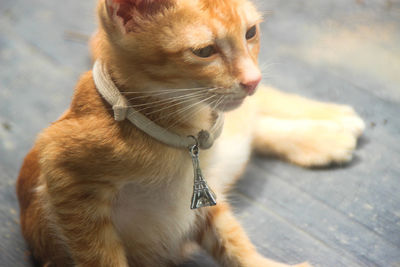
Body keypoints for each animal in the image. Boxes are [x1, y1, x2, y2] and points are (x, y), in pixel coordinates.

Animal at [17, 0, 364, 267]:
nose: (253, 79)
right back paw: (328, 135)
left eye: (250, 33)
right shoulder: (64, 176)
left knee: (258, 108)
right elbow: (99, 256)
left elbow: (232, 239)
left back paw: (331, 122)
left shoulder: (207, 193)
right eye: (204, 51)